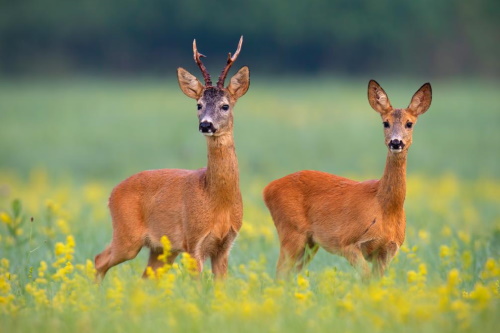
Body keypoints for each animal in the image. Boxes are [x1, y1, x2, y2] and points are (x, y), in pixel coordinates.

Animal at [94, 36, 250, 280]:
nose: (206, 124)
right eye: (199, 105)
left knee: (144, 276)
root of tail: (112, 193)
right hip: (127, 235)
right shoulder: (193, 241)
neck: (217, 200)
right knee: (99, 260)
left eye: (225, 105)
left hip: (161, 249)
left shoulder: (225, 245)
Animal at [264, 81, 432, 280]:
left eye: (409, 123)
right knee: (280, 273)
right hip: (291, 230)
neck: (385, 207)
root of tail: (267, 189)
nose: (396, 142)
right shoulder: (347, 242)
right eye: (385, 123)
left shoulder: (388, 250)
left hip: (310, 243)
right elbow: (366, 279)